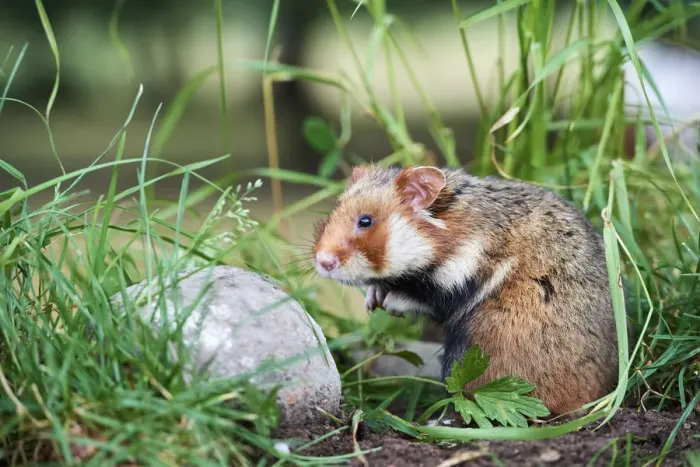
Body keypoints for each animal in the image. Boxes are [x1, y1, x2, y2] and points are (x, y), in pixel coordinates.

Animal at [312, 164, 619, 416]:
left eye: (365, 221)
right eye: (334, 210)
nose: (322, 262)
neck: (444, 232)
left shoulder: (459, 280)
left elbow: (420, 298)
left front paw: (388, 302)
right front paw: (372, 299)